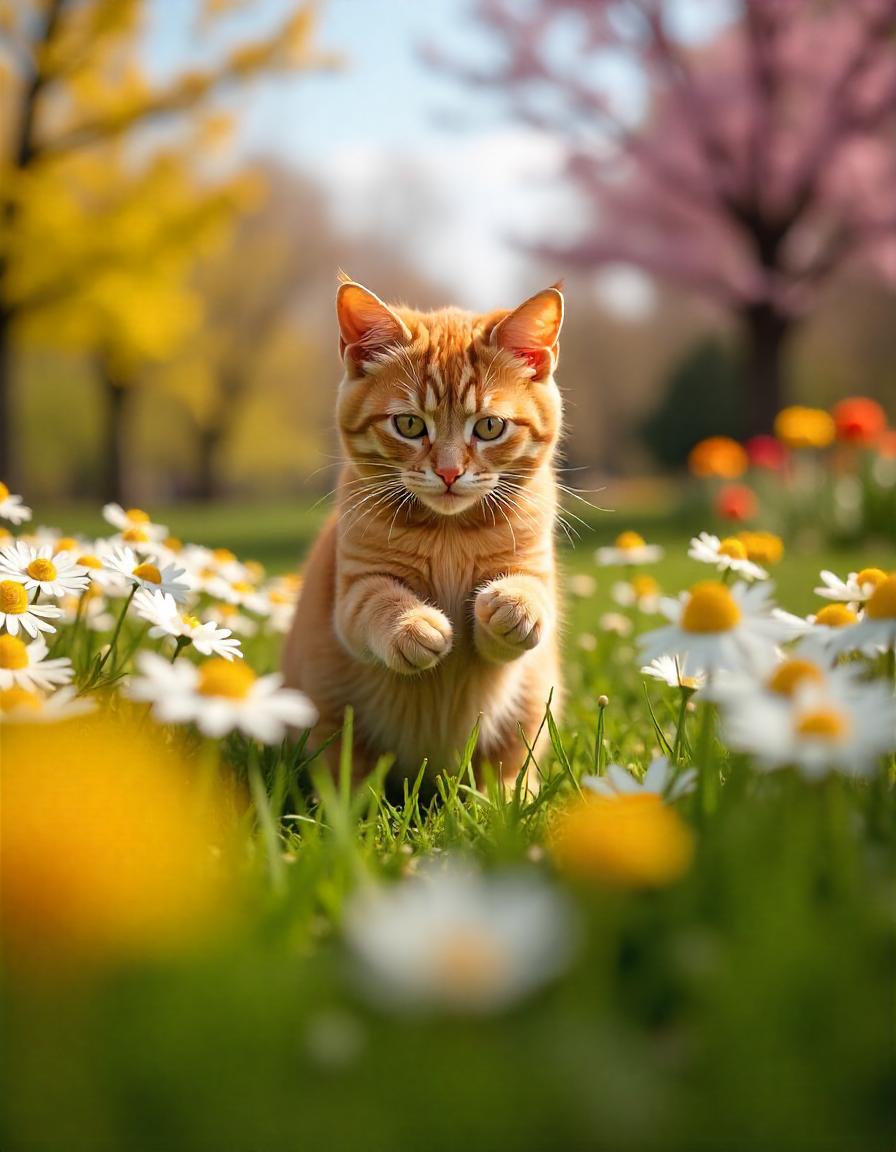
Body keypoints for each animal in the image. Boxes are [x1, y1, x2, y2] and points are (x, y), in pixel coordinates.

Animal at [283, 277, 562, 783]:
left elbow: (529, 597)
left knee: (508, 773)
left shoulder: (532, 570)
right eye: (410, 424)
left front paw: (513, 606)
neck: (448, 532)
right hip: (329, 719)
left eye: (489, 427)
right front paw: (414, 626)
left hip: (528, 714)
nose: (449, 472)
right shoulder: (353, 595)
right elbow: (379, 602)